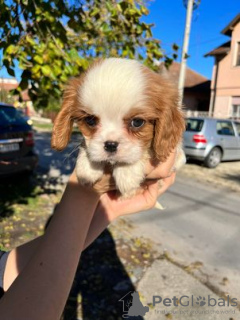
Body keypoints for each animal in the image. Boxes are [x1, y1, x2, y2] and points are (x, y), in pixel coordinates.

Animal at [51, 58, 186, 196]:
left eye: (137, 122)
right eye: (90, 120)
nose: (110, 144)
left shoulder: (178, 155)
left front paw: (127, 173)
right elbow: (86, 144)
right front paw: (88, 167)